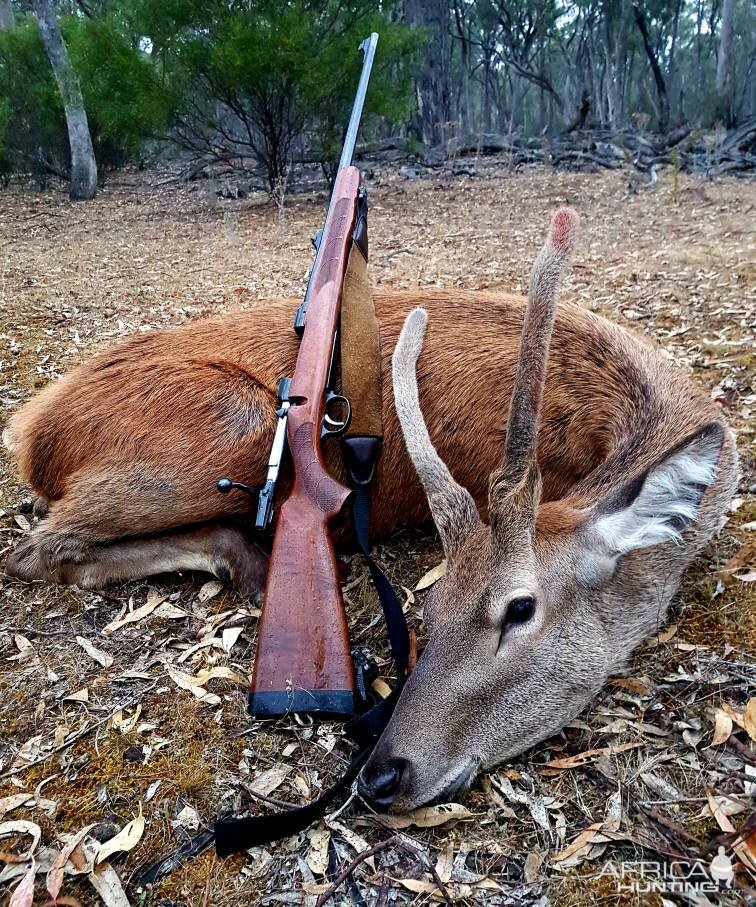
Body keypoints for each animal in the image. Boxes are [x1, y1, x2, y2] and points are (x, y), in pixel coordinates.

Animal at [4, 209, 740, 812]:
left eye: (519, 609)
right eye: (432, 607)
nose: (383, 774)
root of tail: (33, 433)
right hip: (236, 420)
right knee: (39, 548)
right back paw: (243, 556)